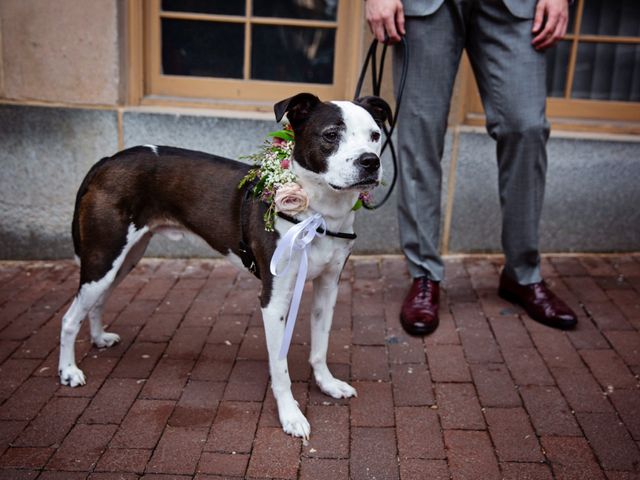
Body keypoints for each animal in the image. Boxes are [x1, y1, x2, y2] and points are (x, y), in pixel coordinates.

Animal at [58, 91, 390, 438]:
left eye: (375, 135)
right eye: (331, 135)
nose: (371, 161)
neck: (319, 213)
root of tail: (108, 160)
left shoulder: (329, 286)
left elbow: (321, 345)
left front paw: (327, 384)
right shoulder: (273, 300)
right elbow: (280, 367)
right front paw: (290, 415)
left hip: (124, 258)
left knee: (96, 301)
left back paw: (98, 338)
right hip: (104, 255)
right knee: (69, 318)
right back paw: (68, 371)